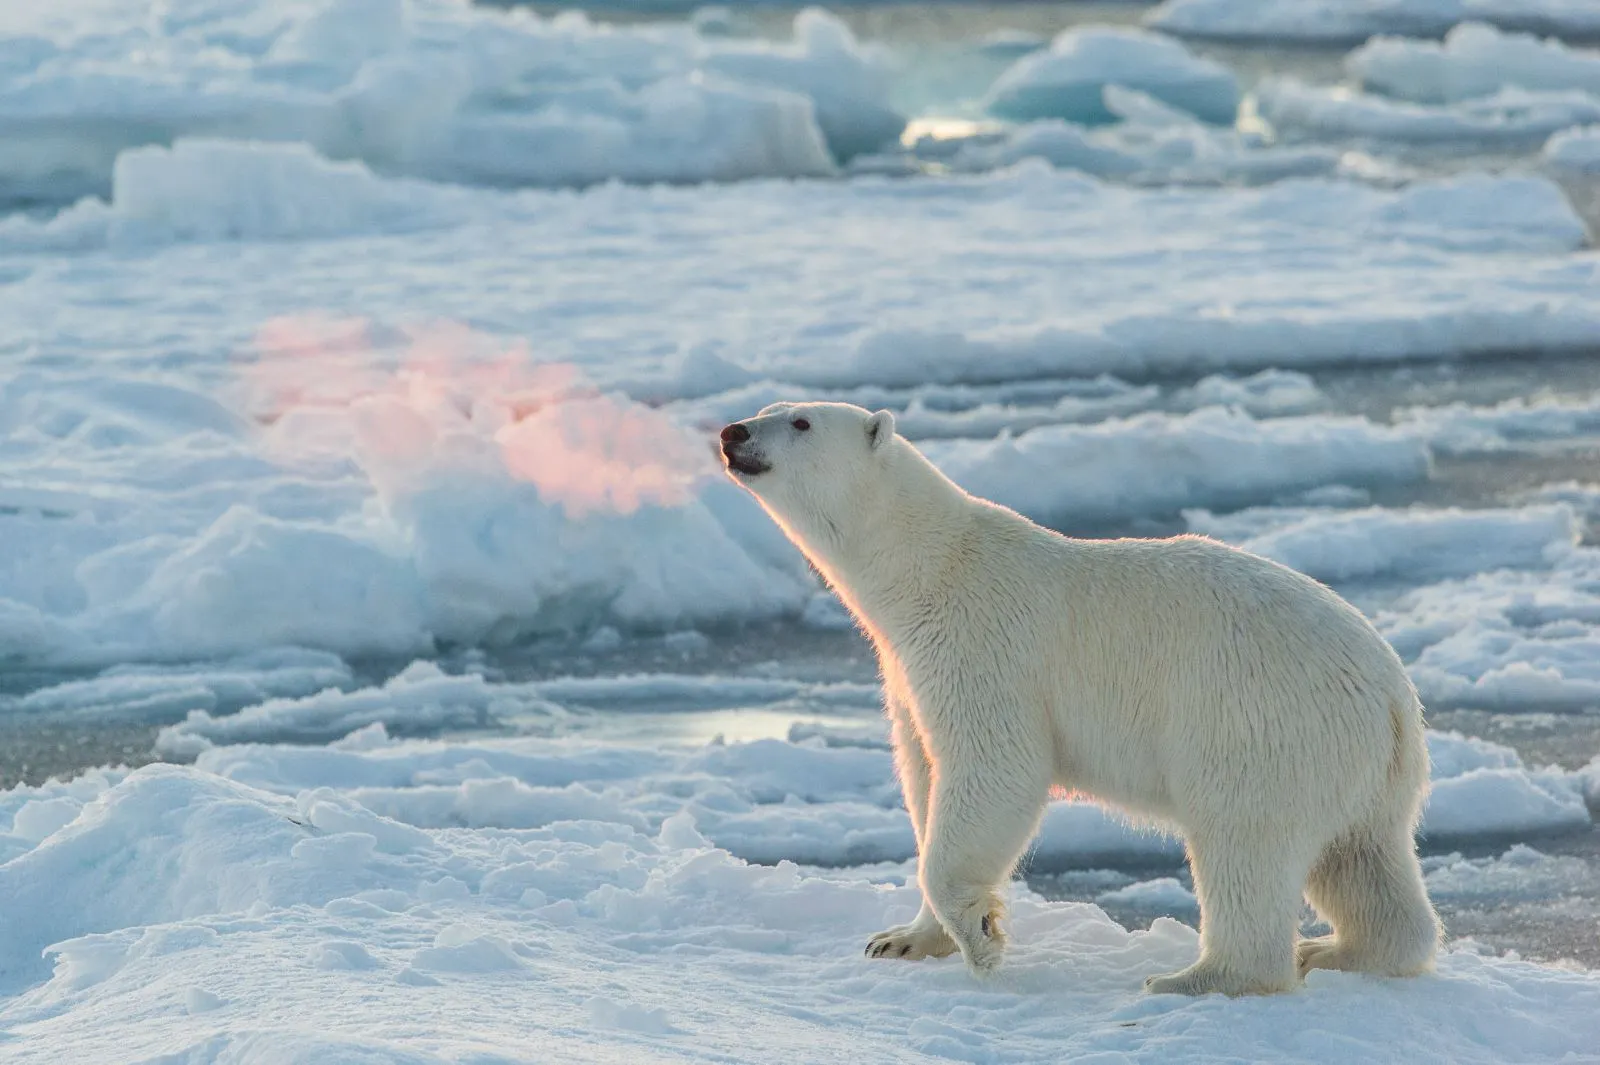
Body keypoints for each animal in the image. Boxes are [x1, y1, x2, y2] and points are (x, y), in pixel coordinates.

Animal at [720, 402, 1446, 991]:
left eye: (800, 422)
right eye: (767, 407)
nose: (732, 432)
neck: (928, 569)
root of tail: (1391, 695)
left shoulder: (983, 646)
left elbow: (996, 770)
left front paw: (981, 938)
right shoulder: (907, 672)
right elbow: (925, 776)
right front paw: (902, 938)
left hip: (1259, 723)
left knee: (1245, 842)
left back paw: (1201, 976)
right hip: (1355, 765)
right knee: (1361, 859)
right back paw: (1338, 951)